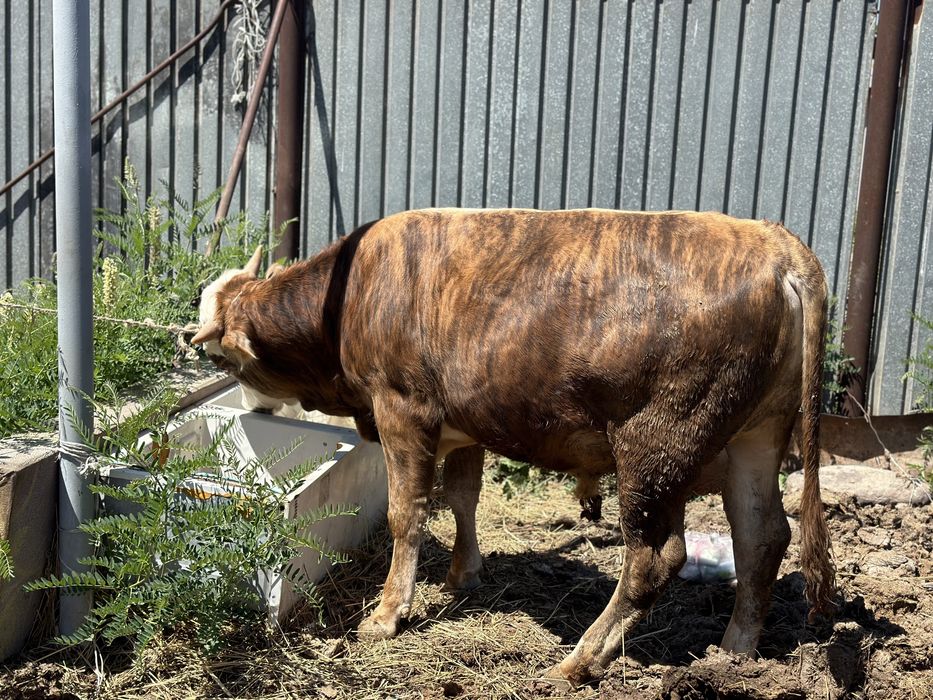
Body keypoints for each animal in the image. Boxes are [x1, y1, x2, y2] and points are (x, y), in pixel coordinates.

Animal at [191, 209, 835, 685]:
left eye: (224, 360)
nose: (251, 408)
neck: (351, 294)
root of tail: (777, 246)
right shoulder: (466, 423)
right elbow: (462, 496)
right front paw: (463, 574)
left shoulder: (402, 410)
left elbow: (407, 514)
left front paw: (386, 615)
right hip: (756, 436)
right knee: (762, 536)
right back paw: (736, 653)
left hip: (657, 447)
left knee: (655, 556)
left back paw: (581, 660)